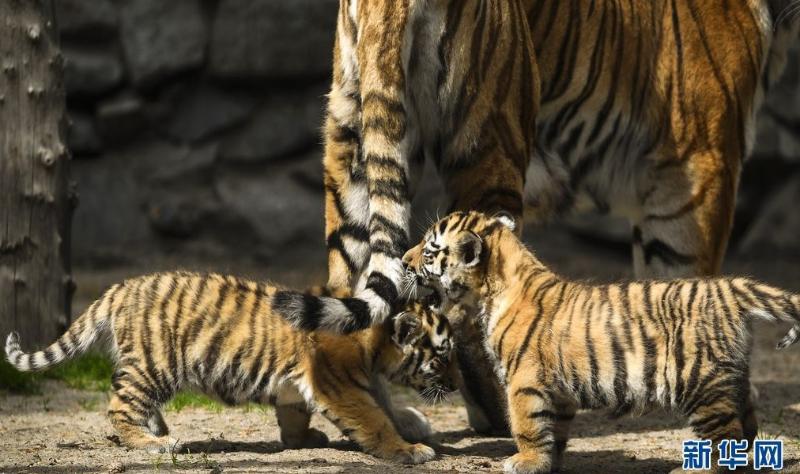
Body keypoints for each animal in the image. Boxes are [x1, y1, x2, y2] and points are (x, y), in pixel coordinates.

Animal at [316, 0, 796, 436]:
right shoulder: (697, 170)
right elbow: (687, 284)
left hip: (354, 141)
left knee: (350, 291)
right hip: (495, 135)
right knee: (469, 305)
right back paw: (499, 415)